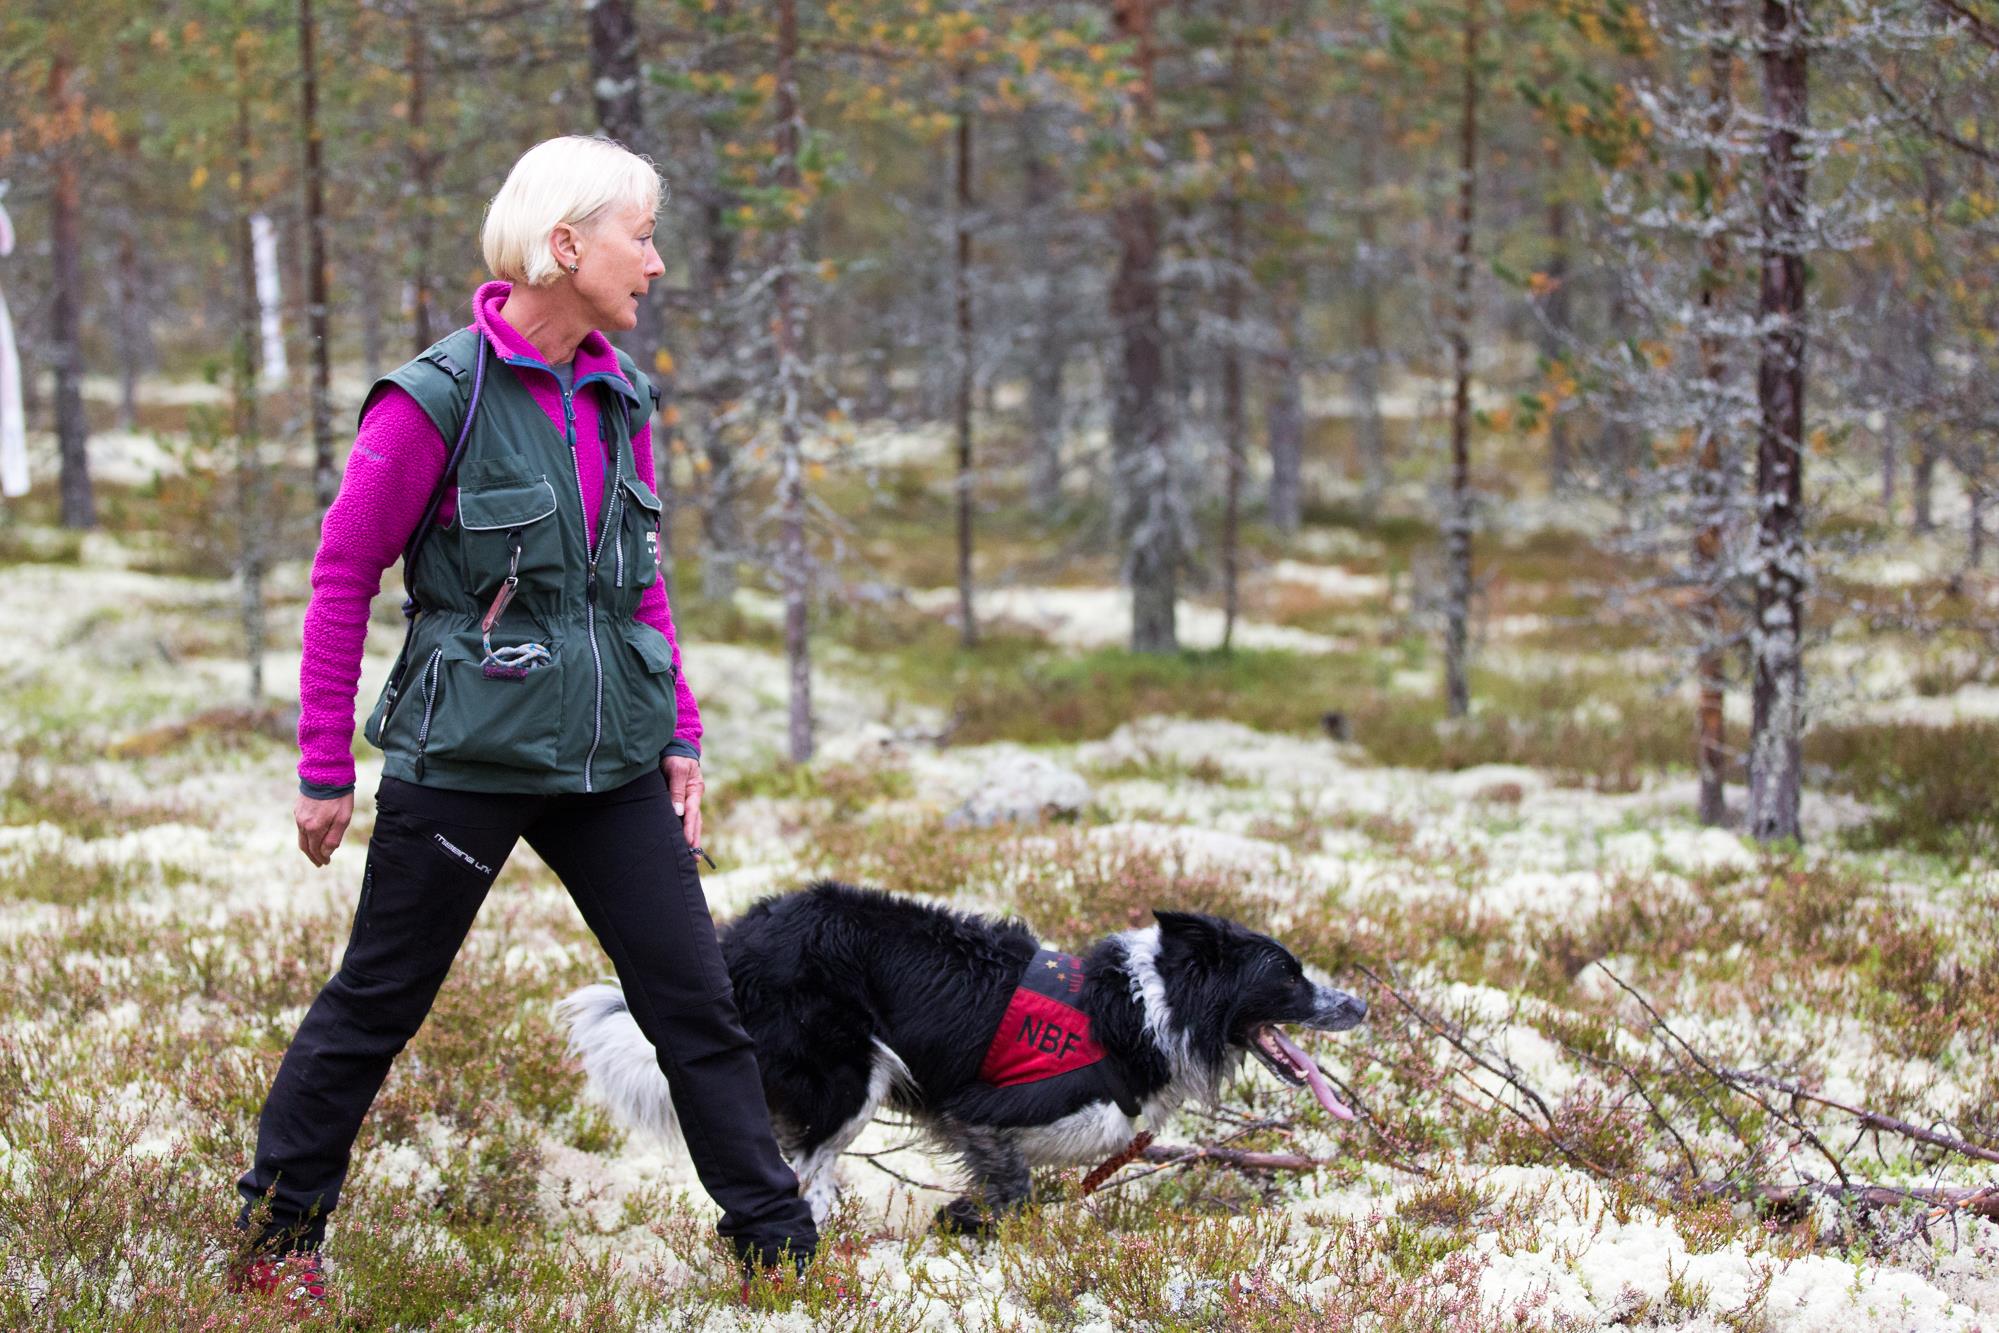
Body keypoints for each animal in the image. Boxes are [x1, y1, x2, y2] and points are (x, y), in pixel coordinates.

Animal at [563, 879, 1375, 1239]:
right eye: (1287, 977)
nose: (1361, 1005)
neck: (1149, 1008)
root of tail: (739, 946)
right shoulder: (979, 1111)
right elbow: (1013, 1184)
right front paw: (965, 1220)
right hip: (852, 1074)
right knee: (807, 1174)